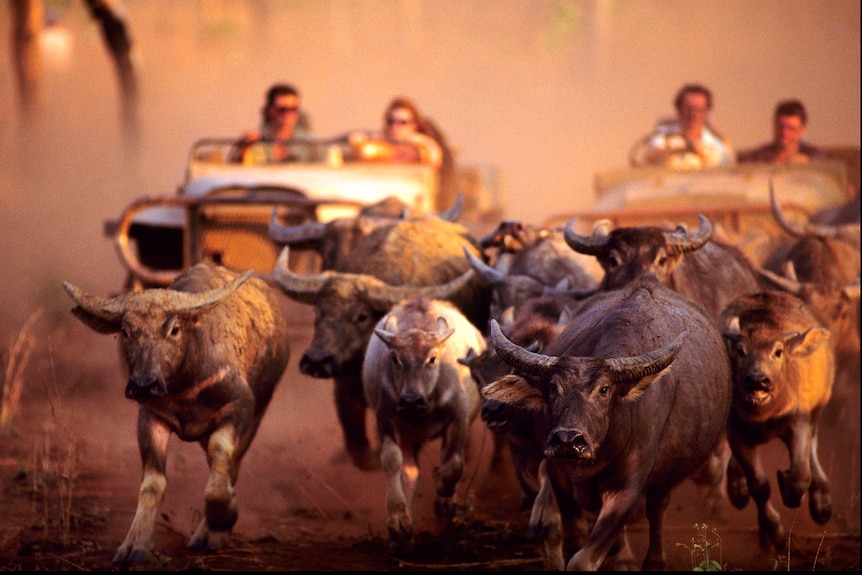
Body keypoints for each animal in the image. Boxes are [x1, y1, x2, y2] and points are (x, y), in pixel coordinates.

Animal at [61, 264, 290, 568]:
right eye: (126, 331)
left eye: (174, 329)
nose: (143, 384)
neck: (185, 382)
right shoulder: (150, 417)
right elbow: (152, 484)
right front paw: (135, 544)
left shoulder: (240, 405)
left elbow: (221, 459)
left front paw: (223, 518)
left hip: (259, 412)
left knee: (232, 466)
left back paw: (210, 533)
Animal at [362, 296, 490, 552]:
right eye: (395, 358)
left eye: (432, 358)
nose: (411, 400)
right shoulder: (386, 418)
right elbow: (392, 461)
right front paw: (398, 522)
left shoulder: (459, 419)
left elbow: (454, 465)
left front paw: (443, 494)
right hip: (409, 437)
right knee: (410, 470)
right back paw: (404, 535)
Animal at [482, 276, 732, 568]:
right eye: (553, 388)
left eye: (604, 390)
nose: (568, 440)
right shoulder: (558, 475)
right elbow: (574, 537)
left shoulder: (627, 488)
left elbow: (583, 559)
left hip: (666, 476)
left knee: (657, 508)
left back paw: (653, 560)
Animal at [724, 292, 836, 552]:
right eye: (741, 351)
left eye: (777, 352)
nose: (757, 380)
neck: (764, 415)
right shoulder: (735, 431)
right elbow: (759, 486)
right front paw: (774, 533)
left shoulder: (799, 423)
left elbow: (800, 476)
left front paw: (789, 488)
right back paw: (737, 487)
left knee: (813, 447)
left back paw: (821, 502)